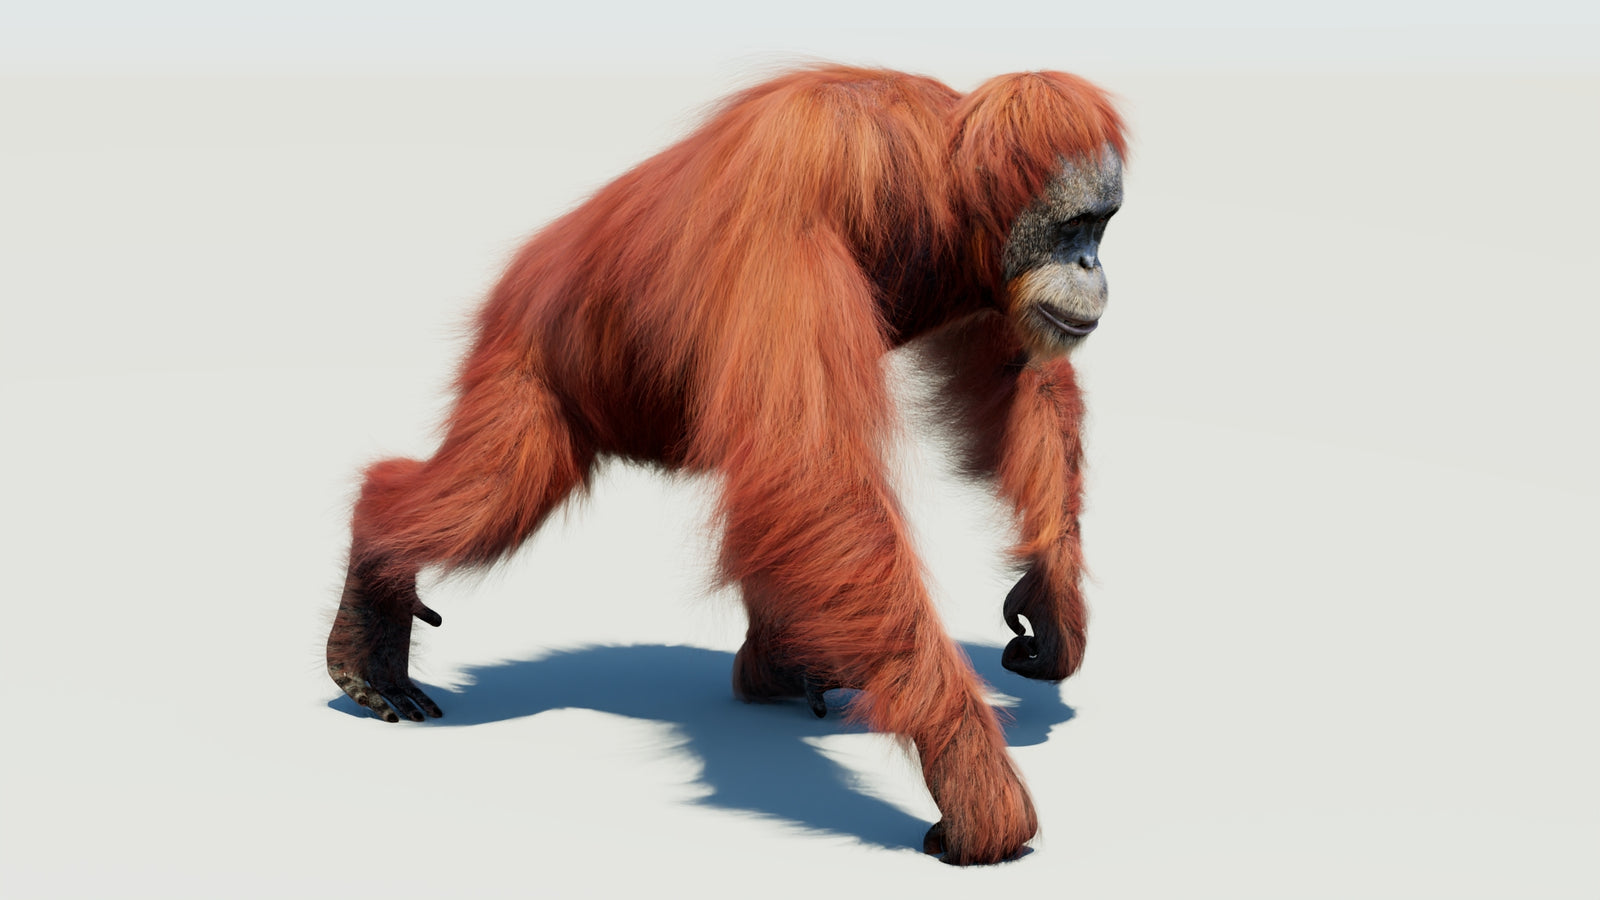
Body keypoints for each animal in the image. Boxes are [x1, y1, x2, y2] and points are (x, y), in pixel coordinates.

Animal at [325, 65, 1125, 865]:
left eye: (1102, 226)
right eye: (1074, 226)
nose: (1093, 265)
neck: (937, 181)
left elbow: (1020, 379)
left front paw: (1054, 597)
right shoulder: (799, 196)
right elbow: (809, 467)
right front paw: (971, 774)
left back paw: (778, 664)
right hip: (531, 356)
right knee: (497, 491)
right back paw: (375, 582)